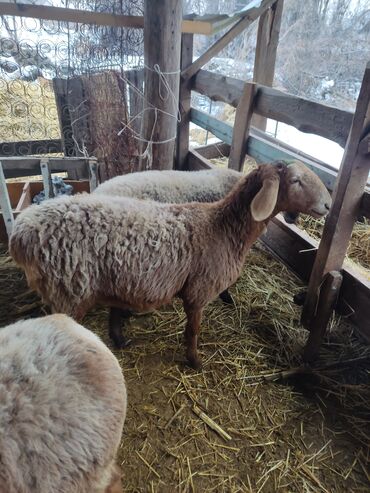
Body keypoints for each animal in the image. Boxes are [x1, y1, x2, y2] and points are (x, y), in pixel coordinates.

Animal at [9, 161, 332, 368]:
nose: (329, 205)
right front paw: (195, 362)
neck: (222, 226)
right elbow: (193, 331)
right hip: (69, 290)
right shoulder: (199, 291)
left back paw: (119, 339)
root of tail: (21, 232)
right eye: (295, 180)